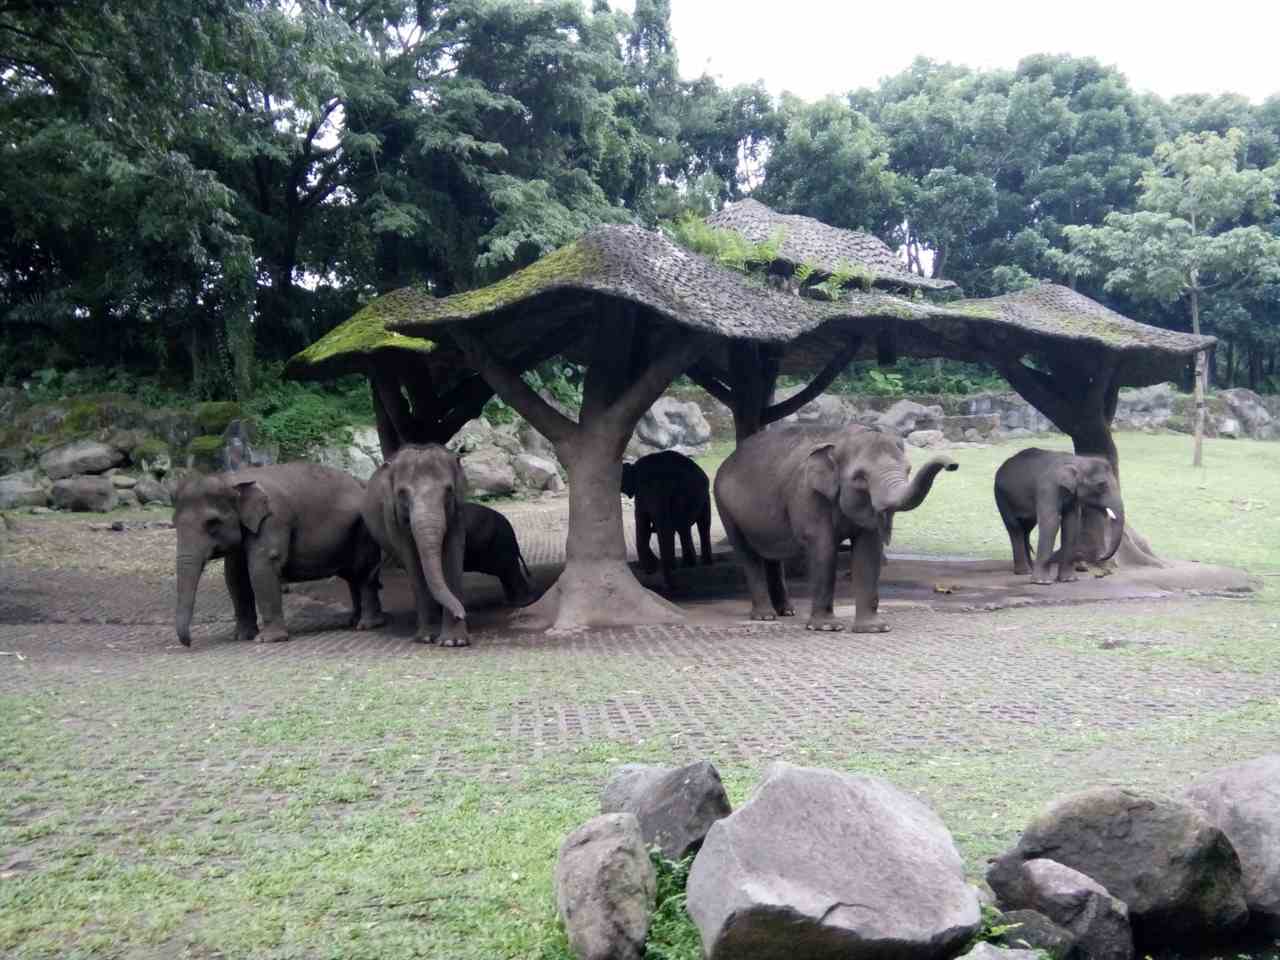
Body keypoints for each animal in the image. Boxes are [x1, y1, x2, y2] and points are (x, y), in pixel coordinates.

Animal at [174, 463, 384, 650]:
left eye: (212, 523)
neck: (233, 479)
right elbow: (234, 576)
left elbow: (261, 567)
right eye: (174, 523)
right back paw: (353, 621)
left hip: (365, 530)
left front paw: (267, 640)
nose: (189, 643)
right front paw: (242, 637)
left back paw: (366, 625)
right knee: (353, 576)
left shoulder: (274, 519)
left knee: (364, 572)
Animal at [360, 442, 471, 647]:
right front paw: (426, 638)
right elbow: (412, 562)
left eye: (448, 490)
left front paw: (454, 641)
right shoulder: (394, 519)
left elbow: (453, 555)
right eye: (402, 493)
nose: (461, 613)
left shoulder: (458, 512)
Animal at [624, 450, 716, 591]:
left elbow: (644, 524)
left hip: (704, 498)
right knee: (685, 528)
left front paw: (653, 568)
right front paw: (653, 568)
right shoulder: (643, 496)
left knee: (700, 526)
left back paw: (698, 564)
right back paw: (689, 564)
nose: (668, 586)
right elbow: (644, 525)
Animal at [711, 424, 962, 634]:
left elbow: (868, 551)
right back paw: (765, 616)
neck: (841, 440)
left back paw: (787, 612)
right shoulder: (807, 495)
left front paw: (874, 629)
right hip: (724, 505)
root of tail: (729, 459)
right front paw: (827, 627)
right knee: (747, 554)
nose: (953, 465)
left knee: (773, 558)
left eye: (908, 469)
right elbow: (823, 547)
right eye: (860, 478)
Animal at [993, 445, 1126, 586]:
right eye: (1101, 485)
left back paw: (1029, 568)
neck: (1078, 460)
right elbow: (1051, 522)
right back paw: (1024, 572)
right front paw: (1042, 582)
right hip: (1001, 496)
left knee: (1026, 529)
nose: (1101, 557)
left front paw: (1069, 580)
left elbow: (1071, 523)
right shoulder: (1048, 488)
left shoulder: (1072, 495)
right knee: (1015, 527)